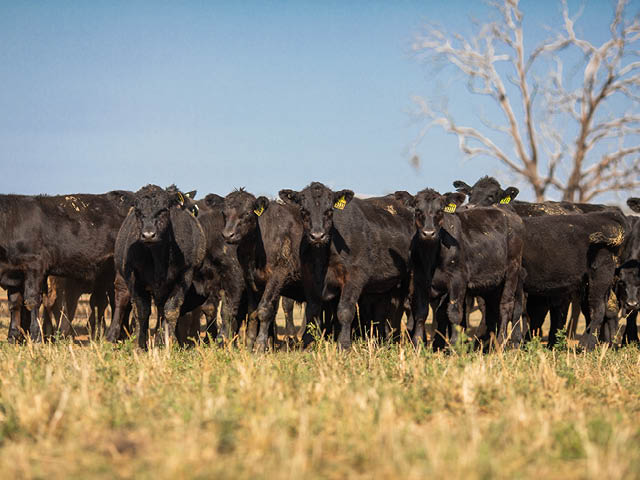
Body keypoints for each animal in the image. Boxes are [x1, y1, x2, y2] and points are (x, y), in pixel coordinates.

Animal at [0, 189, 134, 344]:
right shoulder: (14, 274)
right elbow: (14, 304)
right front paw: (12, 338)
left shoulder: (35, 266)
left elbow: (32, 300)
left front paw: (36, 337)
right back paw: (121, 335)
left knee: (121, 297)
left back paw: (114, 336)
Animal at [280, 182, 416, 350]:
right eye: (303, 211)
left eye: (330, 211)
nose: (317, 236)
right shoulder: (309, 278)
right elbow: (312, 311)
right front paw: (307, 343)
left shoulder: (354, 277)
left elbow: (344, 311)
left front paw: (344, 345)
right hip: (384, 285)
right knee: (384, 312)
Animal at [396, 188, 524, 348]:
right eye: (418, 210)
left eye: (440, 210)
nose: (428, 233)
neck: (431, 256)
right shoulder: (419, 279)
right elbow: (421, 311)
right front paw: (418, 344)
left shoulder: (457, 280)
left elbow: (454, 313)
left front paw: (454, 345)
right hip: (492, 281)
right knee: (494, 309)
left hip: (512, 271)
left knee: (506, 306)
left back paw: (500, 343)